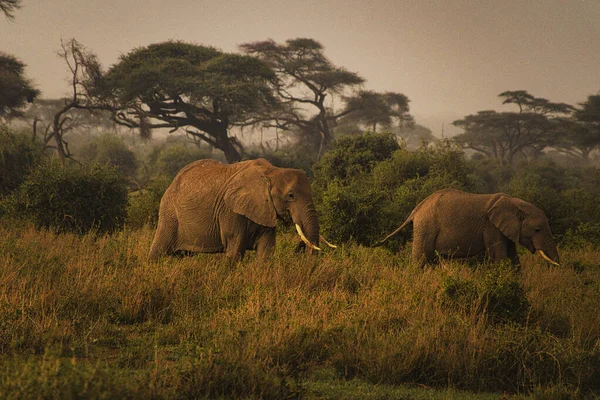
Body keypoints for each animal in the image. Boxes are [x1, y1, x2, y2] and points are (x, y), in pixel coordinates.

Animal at [372, 188, 560, 268]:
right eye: (537, 230)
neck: (515, 202)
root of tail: (416, 209)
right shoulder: (492, 228)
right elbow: (498, 257)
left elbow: (513, 257)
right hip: (425, 227)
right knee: (420, 259)